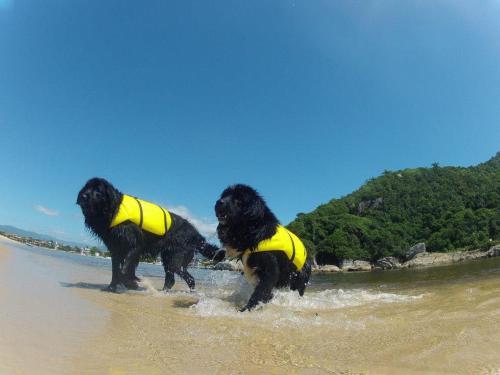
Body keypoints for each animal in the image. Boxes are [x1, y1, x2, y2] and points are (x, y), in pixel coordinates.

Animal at [76, 178, 223, 292]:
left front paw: (131, 284)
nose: (83, 196)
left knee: (186, 277)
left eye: (98, 191)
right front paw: (112, 287)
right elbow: (115, 270)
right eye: (87, 188)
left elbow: (123, 270)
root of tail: (196, 235)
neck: (113, 209)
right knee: (174, 278)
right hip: (168, 257)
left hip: (174, 257)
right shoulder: (116, 248)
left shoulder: (135, 246)